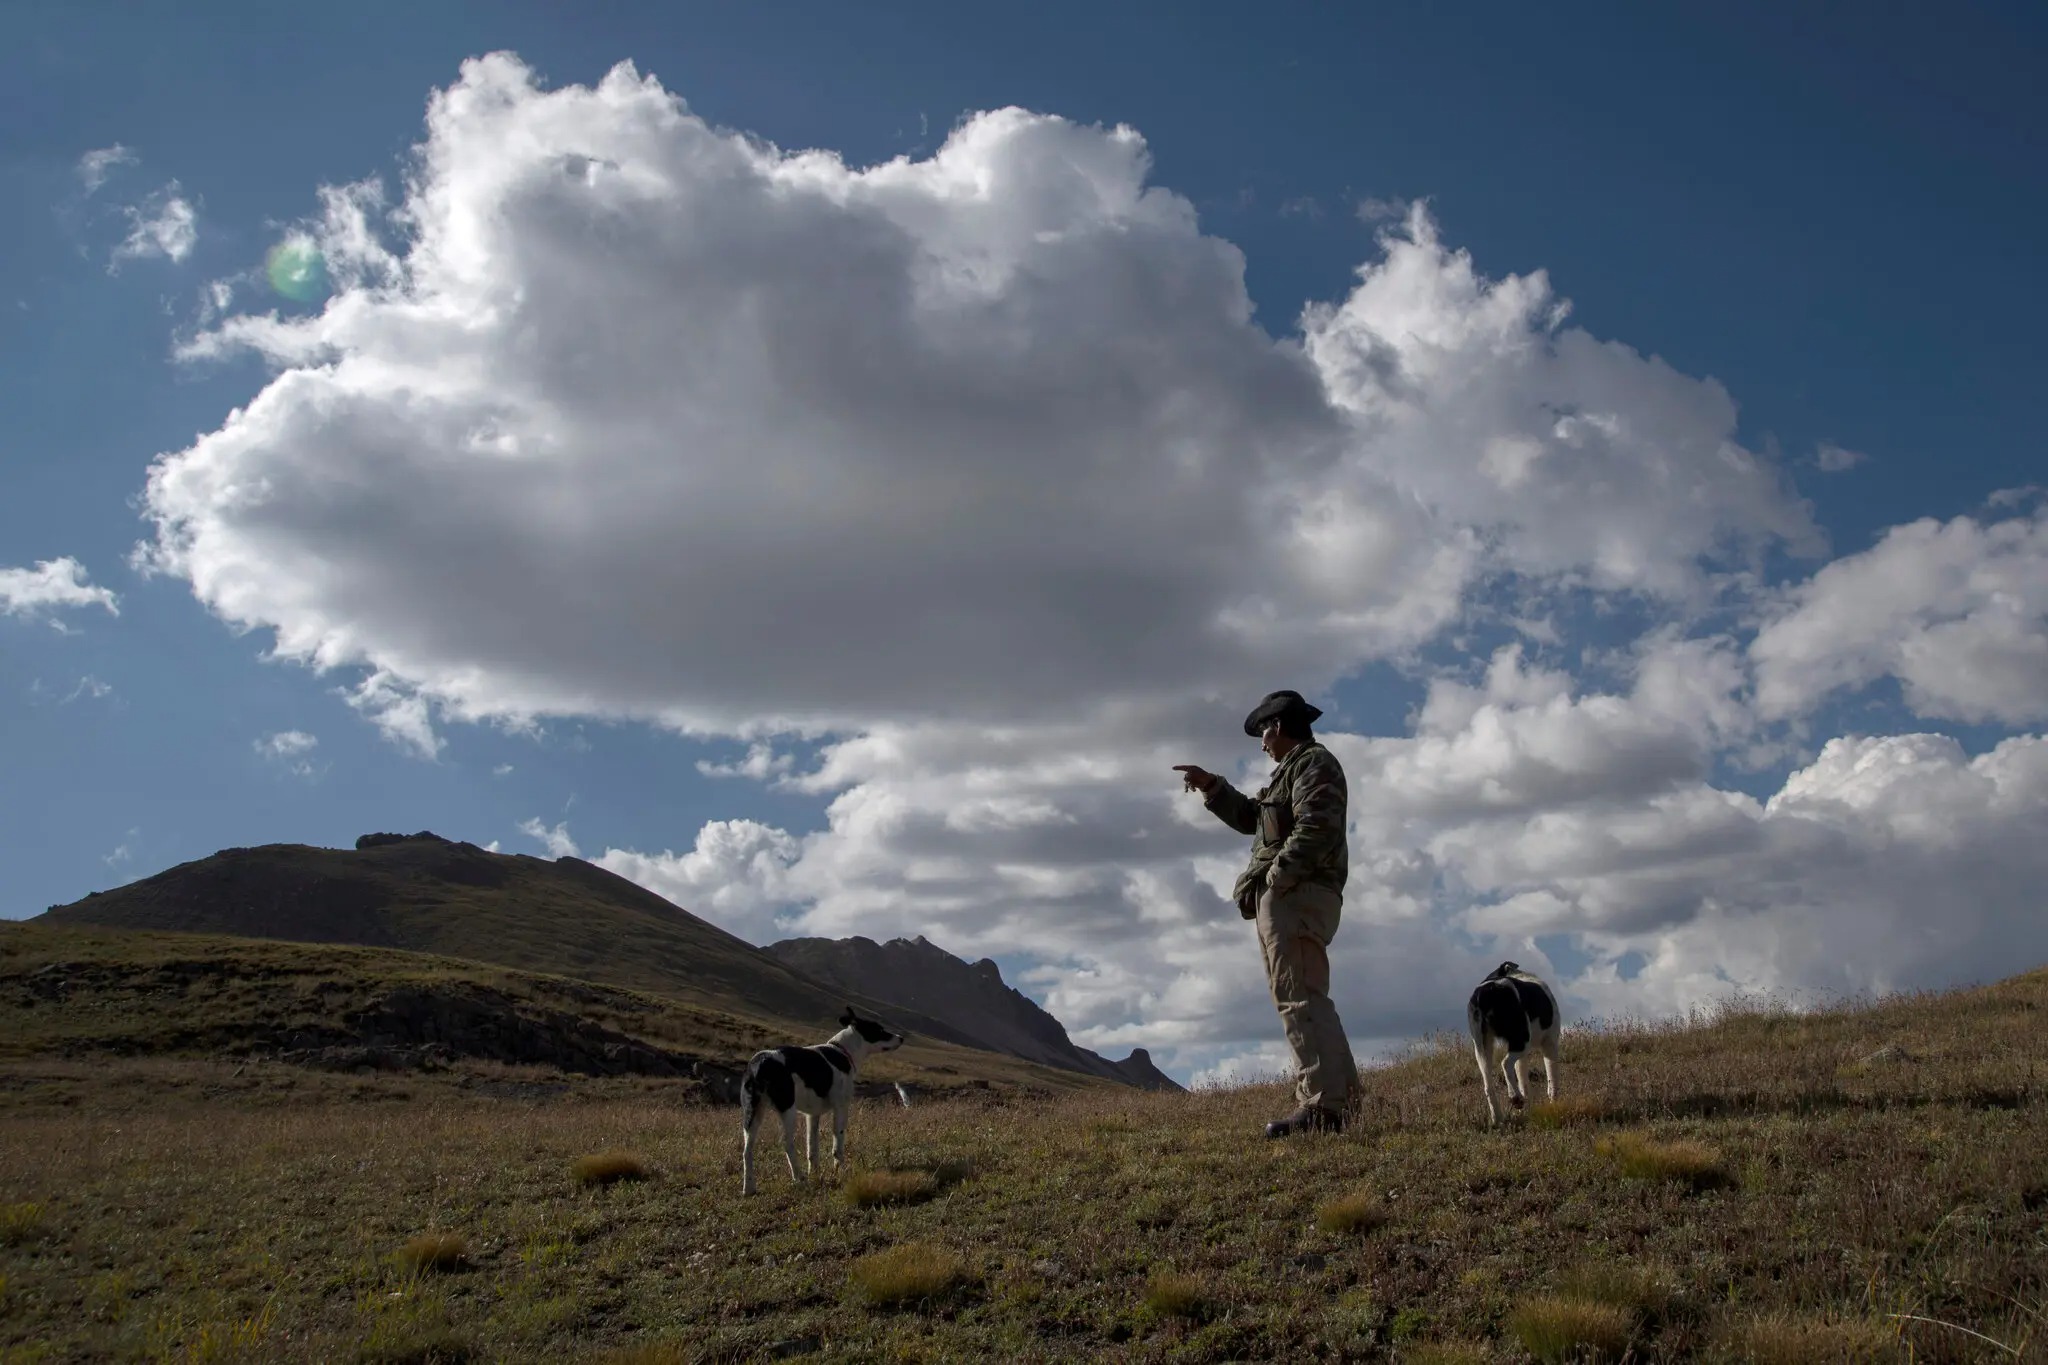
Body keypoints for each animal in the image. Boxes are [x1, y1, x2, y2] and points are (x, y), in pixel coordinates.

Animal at [737, 1002, 897, 1195]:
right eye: (879, 1030)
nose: (901, 1038)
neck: (842, 1052)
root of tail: (759, 1064)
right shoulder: (841, 1107)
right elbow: (837, 1145)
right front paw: (840, 1171)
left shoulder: (812, 1115)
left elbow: (812, 1148)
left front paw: (815, 1174)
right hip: (787, 1109)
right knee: (786, 1143)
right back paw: (799, 1179)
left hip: (752, 1113)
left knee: (747, 1150)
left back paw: (749, 1187)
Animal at [1466, 961, 1556, 1129]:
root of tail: (1485, 992)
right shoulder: (1551, 1043)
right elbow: (1552, 1081)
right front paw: (1554, 1106)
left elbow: (1524, 1082)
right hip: (1521, 1040)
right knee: (1505, 1063)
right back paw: (1515, 1098)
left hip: (1482, 1048)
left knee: (1488, 1085)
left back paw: (1498, 1119)